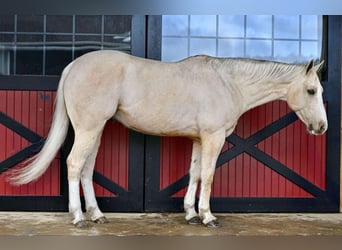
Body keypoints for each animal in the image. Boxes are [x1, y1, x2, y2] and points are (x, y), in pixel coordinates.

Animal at [9, 50, 328, 229]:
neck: (228, 83)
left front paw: (190, 214)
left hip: (96, 131)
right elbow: (208, 175)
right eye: (311, 90)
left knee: (87, 169)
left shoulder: (199, 139)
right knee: (75, 164)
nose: (322, 127)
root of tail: (74, 65)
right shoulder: (212, 138)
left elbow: (195, 173)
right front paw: (208, 217)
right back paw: (78, 218)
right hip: (88, 129)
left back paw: (97, 215)